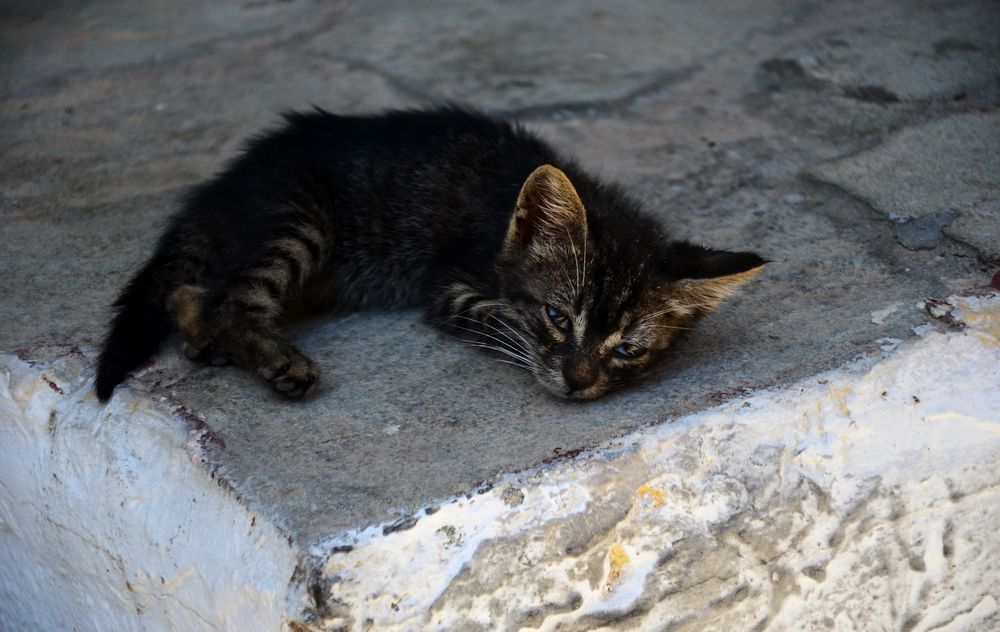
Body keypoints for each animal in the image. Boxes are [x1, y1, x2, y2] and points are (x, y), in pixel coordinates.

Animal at [95, 103, 764, 400]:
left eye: (628, 348)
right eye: (556, 317)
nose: (576, 383)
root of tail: (226, 181)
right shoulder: (449, 279)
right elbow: (497, 317)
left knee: (192, 292)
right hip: (298, 219)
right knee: (228, 298)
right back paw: (275, 360)